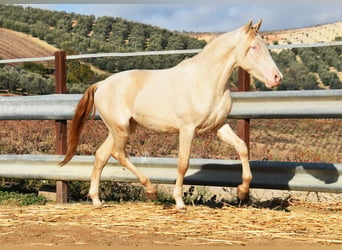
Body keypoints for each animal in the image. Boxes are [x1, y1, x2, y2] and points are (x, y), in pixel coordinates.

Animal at [60, 20, 282, 210]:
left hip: (121, 129)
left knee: (101, 155)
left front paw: (242, 192)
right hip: (120, 128)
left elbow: (242, 147)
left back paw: (97, 200)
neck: (206, 81)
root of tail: (101, 85)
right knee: (118, 154)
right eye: (254, 47)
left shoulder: (219, 126)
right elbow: (183, 163)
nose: (277, 77)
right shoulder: (187, 129)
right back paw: (151, 190)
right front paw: (179, 202)